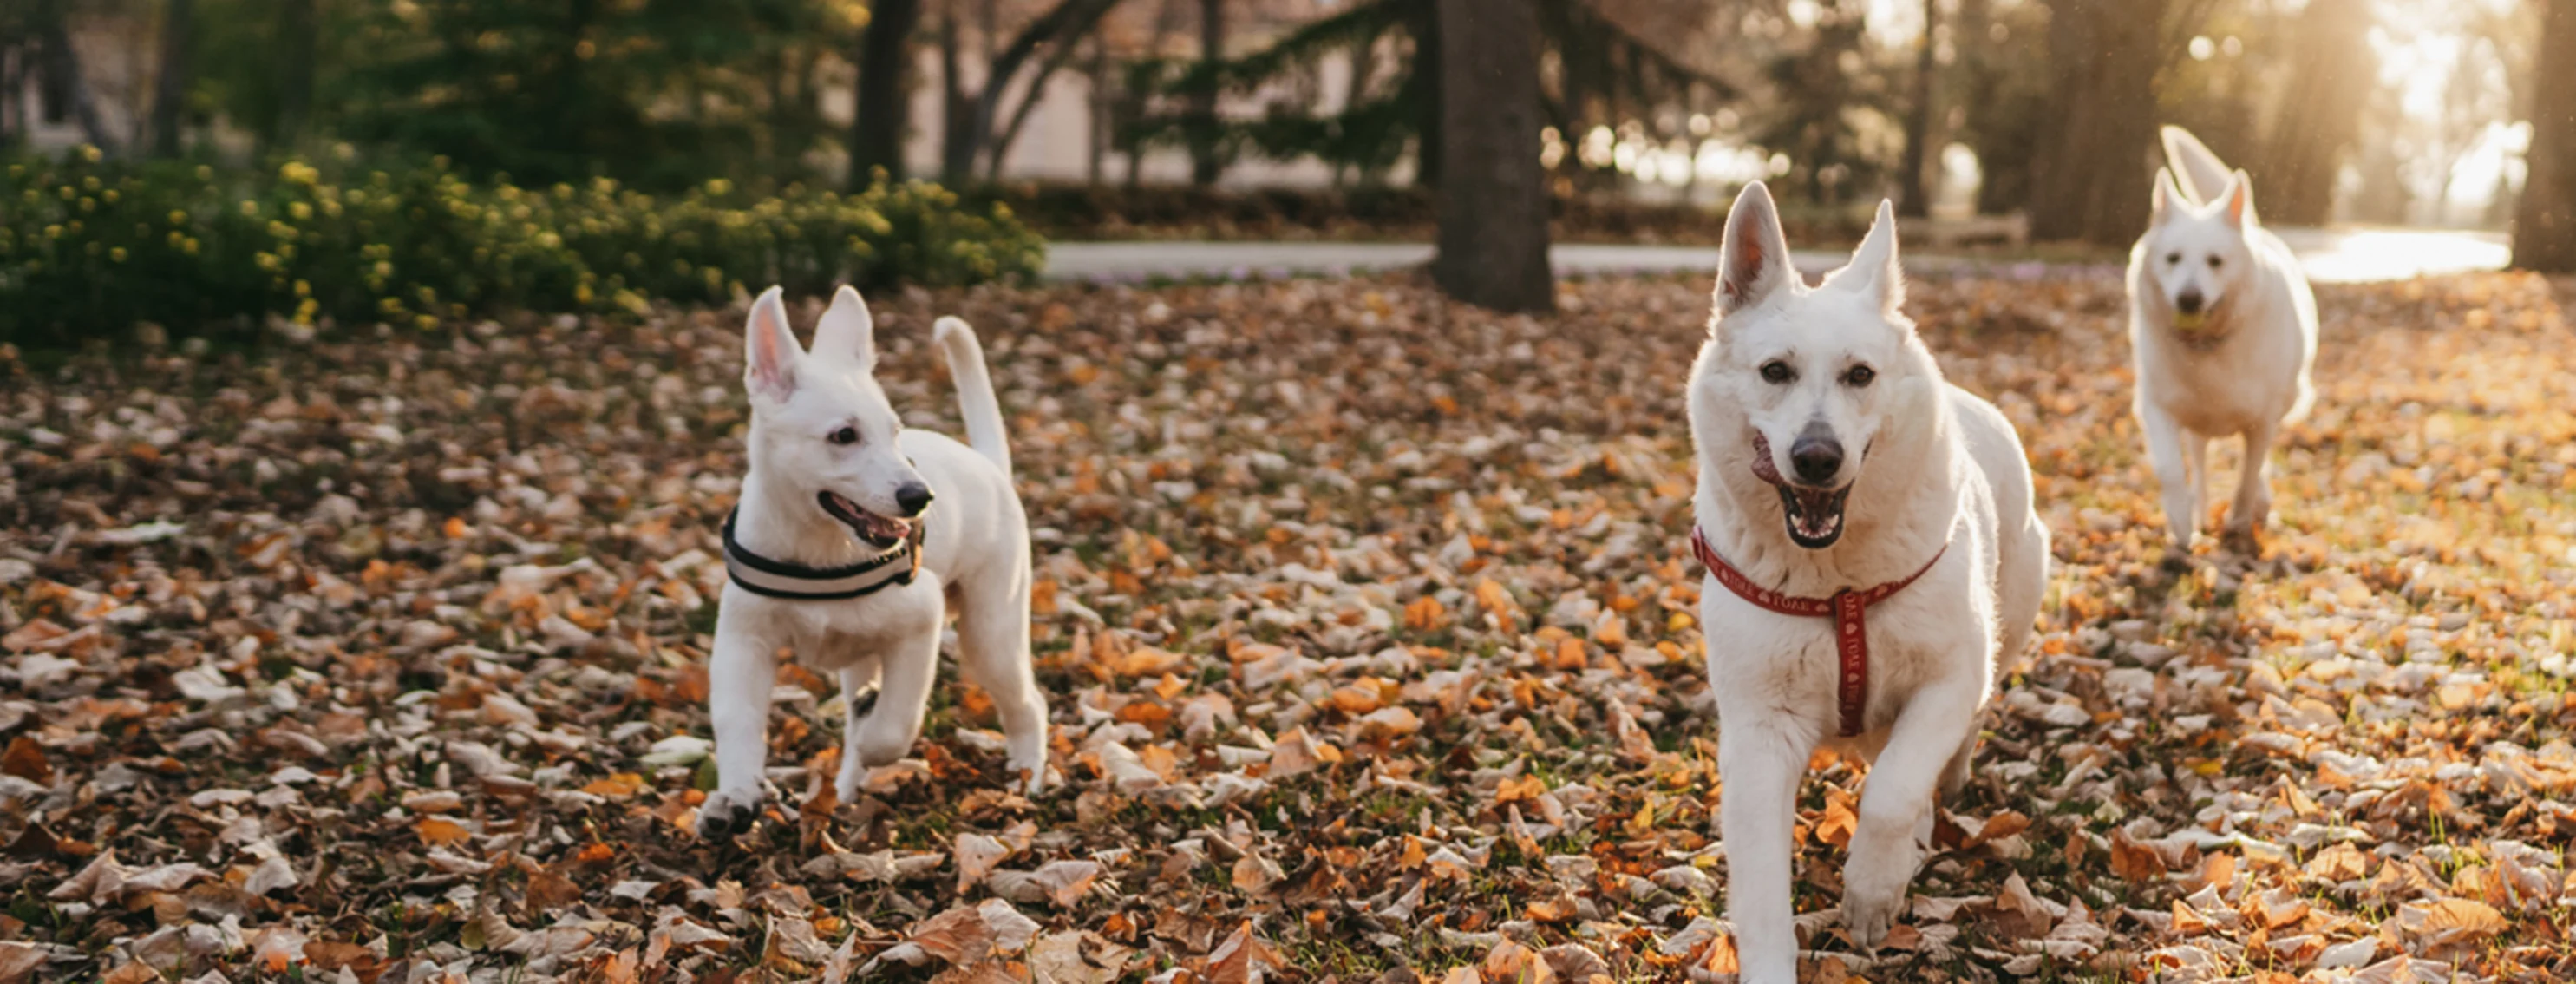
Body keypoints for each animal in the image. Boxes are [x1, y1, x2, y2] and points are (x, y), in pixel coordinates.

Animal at [700, 285, 1050, 839]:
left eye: (896, 431)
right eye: (844, 435)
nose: (919, 497)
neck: (818, 549)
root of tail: (989, 465)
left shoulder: (920, 624)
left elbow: (894, 724)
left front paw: (873, 740)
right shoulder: (743, 641)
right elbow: (737, 721)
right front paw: (734, 797)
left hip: (991, 632)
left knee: (1028, 703)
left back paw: (1027, 776)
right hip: (863, 651)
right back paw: (844, 790)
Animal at [1690, 184, 2050, 984]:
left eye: (1860, 375)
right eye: (1775, 372)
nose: (1816, 458)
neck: (1836, 589)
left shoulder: (1950, 679)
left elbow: (1892, 791)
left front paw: (1870, 891)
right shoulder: (1759, 735)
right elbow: (1762, 890)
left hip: (2006, 632)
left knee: (1946, 746)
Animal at [2122, 125, 2328, 548]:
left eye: (2215, 261)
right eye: (2172, 258)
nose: (2189, 298)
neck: (2207, 347)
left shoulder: (2261, 421)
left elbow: (2249, 473)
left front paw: (2238, 521)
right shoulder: (2157, 408)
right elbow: (2171, 470)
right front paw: (2181, 524)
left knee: (2256, 467)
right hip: (2197, 425)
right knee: (2200, 464)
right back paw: (2199, 512)